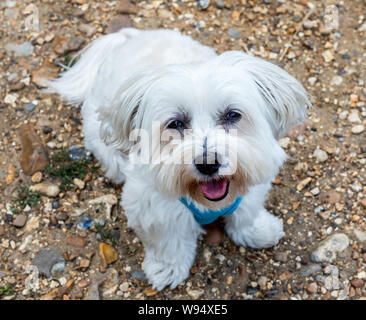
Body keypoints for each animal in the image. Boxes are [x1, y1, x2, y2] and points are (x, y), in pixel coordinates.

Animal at [49, 28, 312, 292]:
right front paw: (167, 268)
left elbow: (246, 212)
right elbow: (169, 241)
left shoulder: (250, 183)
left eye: (232, 115)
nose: (208, 163)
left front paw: (258, 230)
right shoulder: (153, 206)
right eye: (175, 123)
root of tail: (128, 37)